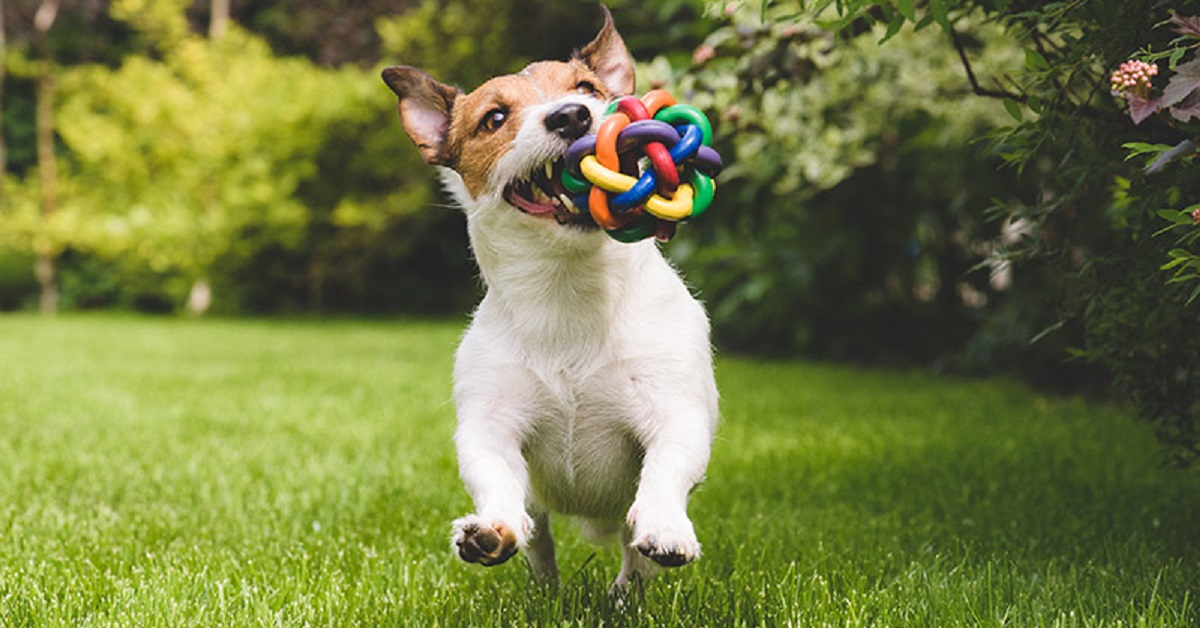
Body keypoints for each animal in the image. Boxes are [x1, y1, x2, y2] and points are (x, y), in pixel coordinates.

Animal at [384, 7, 715, 593]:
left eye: (586, 89)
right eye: (494, 118)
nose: (571, 116)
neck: (567, 289)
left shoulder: (673, 410)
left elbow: (668, 467)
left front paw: (665, 526)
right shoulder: (491, 424)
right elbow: (494, 474)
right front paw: (490, 530)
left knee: (632, 557)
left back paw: (625, 594)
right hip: (538, 510)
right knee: (538, 535)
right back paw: (540, 583)